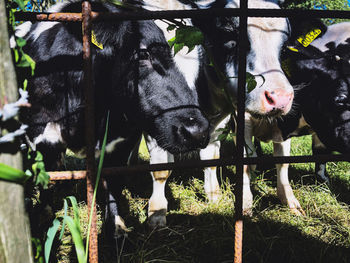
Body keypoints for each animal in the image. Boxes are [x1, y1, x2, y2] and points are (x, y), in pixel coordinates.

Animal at [15, 0, 211, 243]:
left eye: (199, 61)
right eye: (143, 53)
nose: (197, 131)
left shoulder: (122, 139)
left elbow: (114, 182)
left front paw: (116, 227)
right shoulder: (39, 131)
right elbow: (48, 176)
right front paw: (44, 219)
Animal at [140, 0, 296, 228]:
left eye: (284, 47)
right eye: (230, 37)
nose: (281, 98)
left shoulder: (218, 122)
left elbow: (211, 159)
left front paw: (214, 196)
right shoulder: (155, 124)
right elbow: (161, 170)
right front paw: (157, 212)